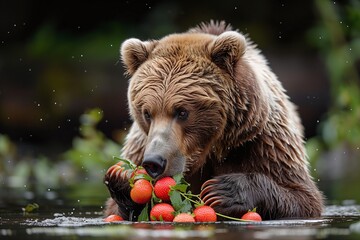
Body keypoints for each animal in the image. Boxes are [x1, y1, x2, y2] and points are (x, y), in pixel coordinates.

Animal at [103, 21, 324, 220]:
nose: (154, 161)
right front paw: (122, 179)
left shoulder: (262, 140)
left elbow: (302, 197)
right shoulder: (141, 143)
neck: (210, 148)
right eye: (147, 113)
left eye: (182, 112)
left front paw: (222, 190)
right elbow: (115, 208)